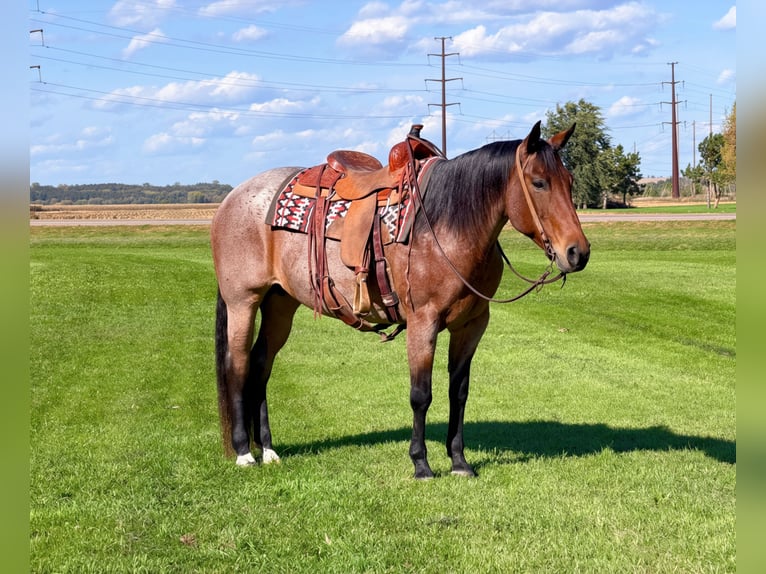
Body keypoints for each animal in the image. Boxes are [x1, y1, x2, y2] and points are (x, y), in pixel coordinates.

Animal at [211, 121, 590, 479]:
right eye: (539, 183)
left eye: (569, 181)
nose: (578, 252)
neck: (448, 226)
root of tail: (232, 198)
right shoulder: (423, 321)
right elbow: (421, 394)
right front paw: (421, 464)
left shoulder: (471, 324)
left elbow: (459, 392)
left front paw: (459, 461)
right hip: (243, 302)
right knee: (238, 363)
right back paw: (244, 452)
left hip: (280, 303)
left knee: (261, 363)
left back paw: (268, 449)